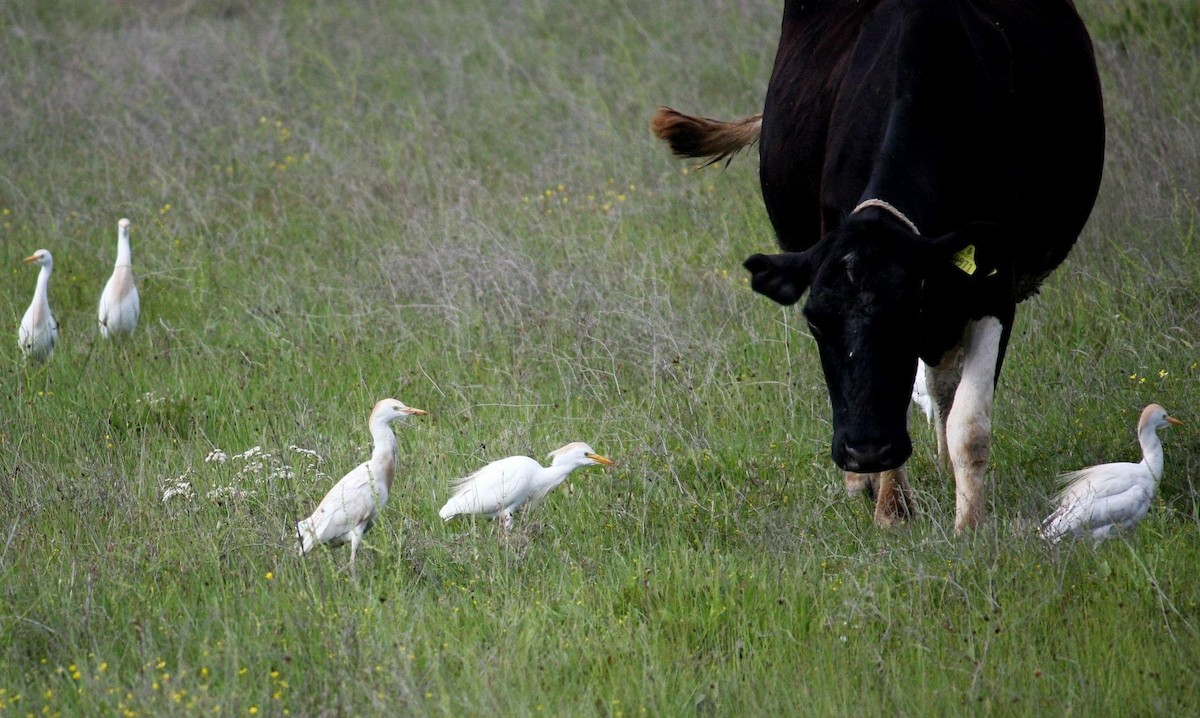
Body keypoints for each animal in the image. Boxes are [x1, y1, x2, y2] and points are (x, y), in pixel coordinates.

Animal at [657, 0, 1104, 530]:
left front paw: (969, 526)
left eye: (911, 312)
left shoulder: (994, 281)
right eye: (814, 321)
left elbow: (970, 424)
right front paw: (891, 506)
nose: (865, 451)